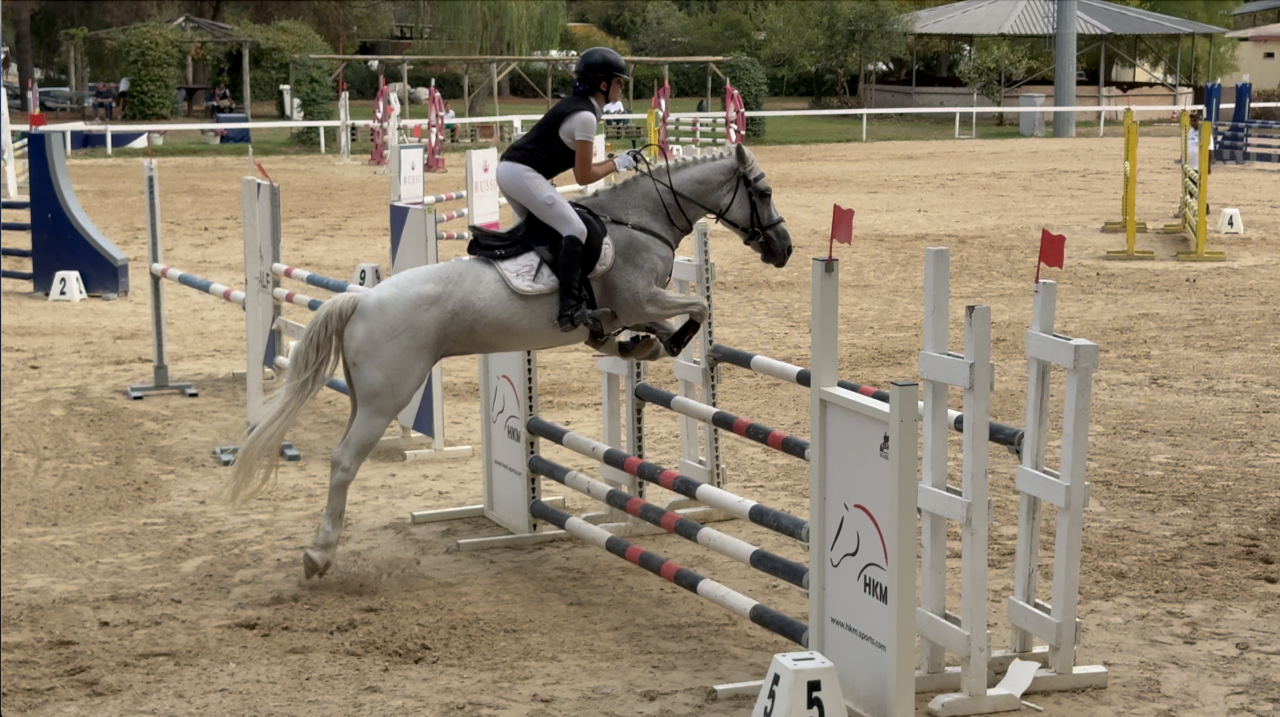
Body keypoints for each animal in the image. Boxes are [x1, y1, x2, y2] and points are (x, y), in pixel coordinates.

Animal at [223, 143, 793, 579]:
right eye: (763, 193)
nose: (784, 249)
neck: (642, 220)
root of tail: (361, 300)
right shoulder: (643, 300)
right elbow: (695, 310)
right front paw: (662, 345)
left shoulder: (637, 309)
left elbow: (639, 334)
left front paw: (634, 347)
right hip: (388, 397)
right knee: (344, 462)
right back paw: (318, 555)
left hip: (363, 397)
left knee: (342, 455)